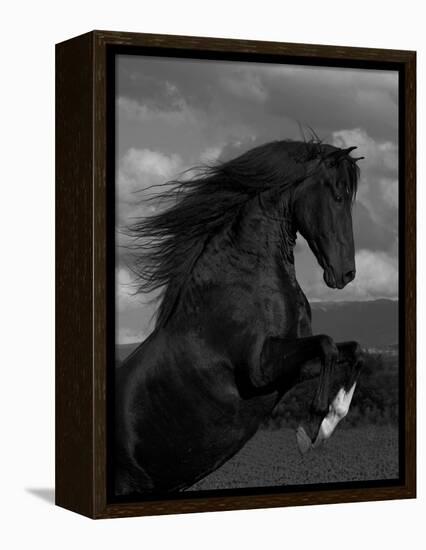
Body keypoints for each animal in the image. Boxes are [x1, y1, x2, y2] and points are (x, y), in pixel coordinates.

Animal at [115, 138, 364, 496]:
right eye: (338, 196)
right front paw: (310, 433)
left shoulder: (294, 368)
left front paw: (324, 429)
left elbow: (353, 350)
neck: (246, 279)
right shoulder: (260, 369)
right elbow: (328, 344)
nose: (346, 274)